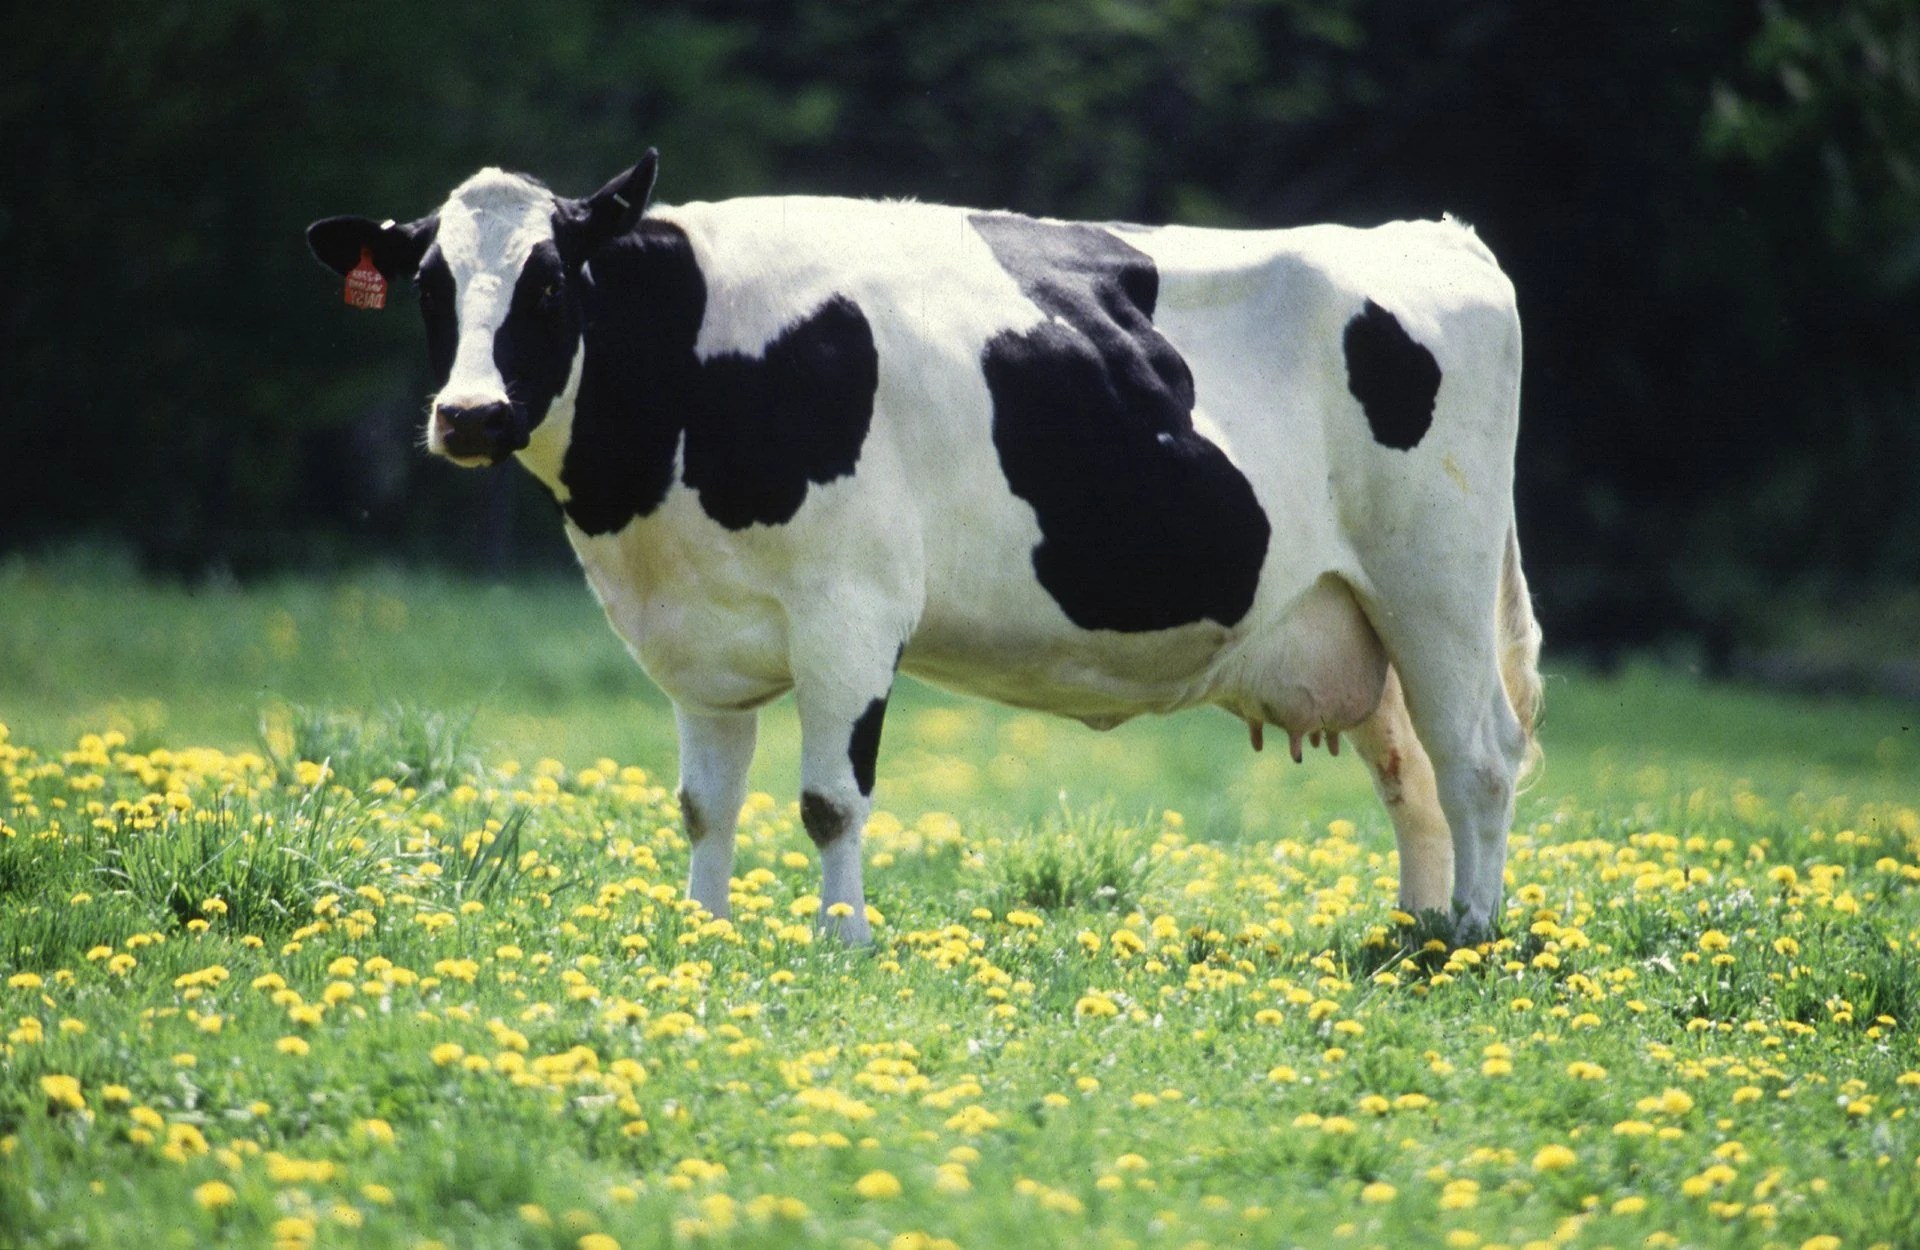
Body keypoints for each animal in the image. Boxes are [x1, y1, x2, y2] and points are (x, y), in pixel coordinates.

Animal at [307, 151, 1542, 945]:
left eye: (551, 279)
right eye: (429, 285)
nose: (469, 415)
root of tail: (1435, 237)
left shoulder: (850, 611)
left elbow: (828, 800)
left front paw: (842, 941)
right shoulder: (698, 639)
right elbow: (706, 803)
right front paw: (701, 933)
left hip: (1435, 579)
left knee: (1478, 754)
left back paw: (1472, 936)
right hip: (1354, 611)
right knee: (1411, 771)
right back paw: (1414, 928)